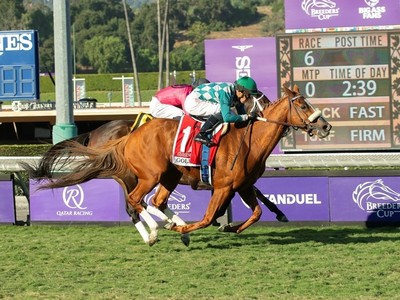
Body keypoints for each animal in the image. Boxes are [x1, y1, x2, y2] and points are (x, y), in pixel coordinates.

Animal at [24, 85, 332, 245]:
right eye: (302, 105)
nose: (325, 126)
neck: (249, 139)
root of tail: (127, 136)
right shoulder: (223, 186)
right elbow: (208, 217)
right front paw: (190, 229)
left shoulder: (242, 185)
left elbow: (256, 212)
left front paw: (232, 226)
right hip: (145, 175)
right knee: (136, 202)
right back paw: (156, 231)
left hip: (167, 176)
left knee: (153, 201)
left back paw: (167, 224)